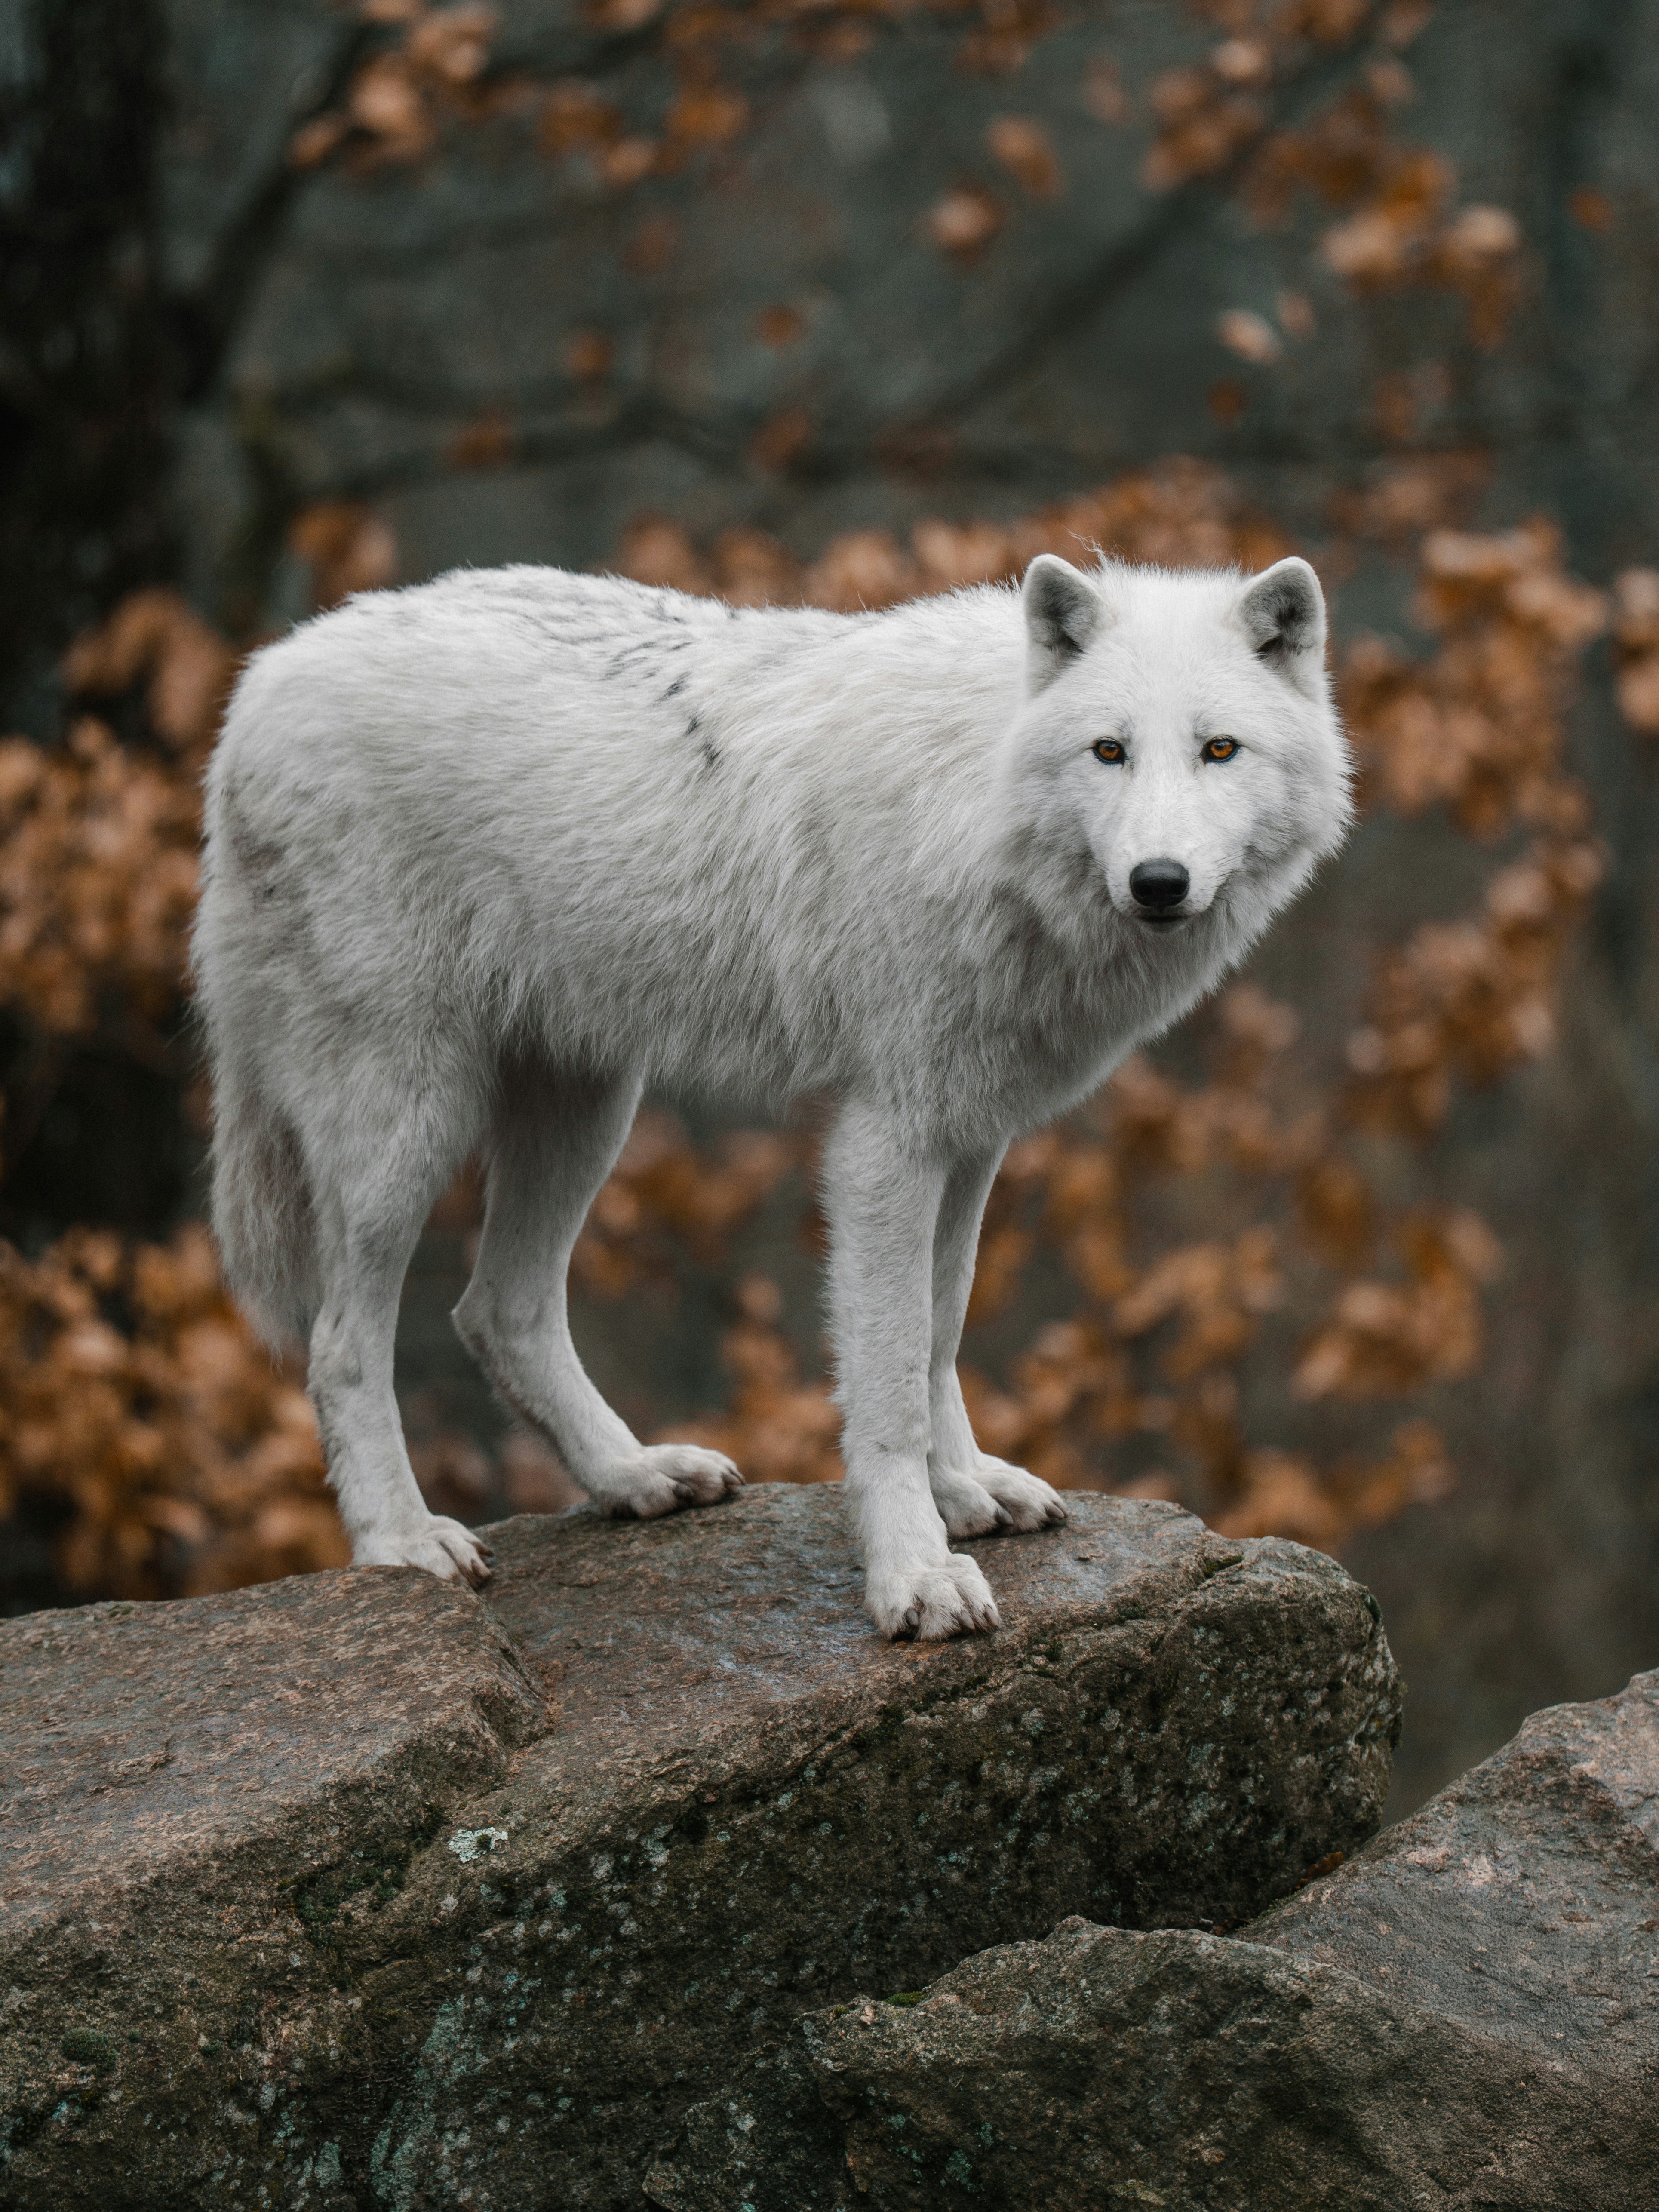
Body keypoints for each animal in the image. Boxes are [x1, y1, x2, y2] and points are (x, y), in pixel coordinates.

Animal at [194, 550, 1350, 1639]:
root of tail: (259, 681)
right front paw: (917, 1577)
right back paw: (400, 1540)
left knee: (498, 1310)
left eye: (1219, 750)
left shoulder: (970, 1133)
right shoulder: (885, 1141)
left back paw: (634, 1477)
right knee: (342, 1343)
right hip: (407, 1120)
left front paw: (964, 1488)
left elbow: (939, 1333)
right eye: (1110, 750)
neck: (981, 802)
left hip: (586, 1106)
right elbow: (887, 1382)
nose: (1159, 881)